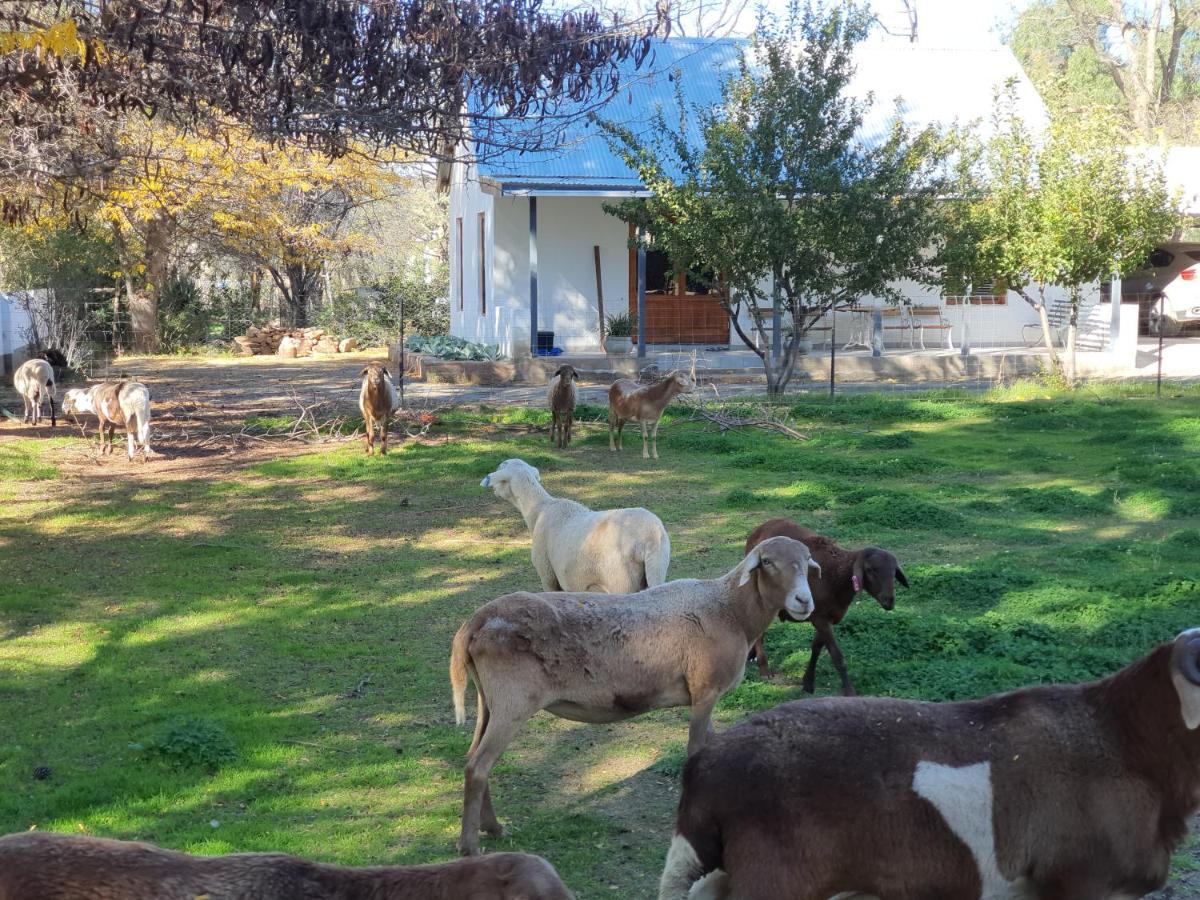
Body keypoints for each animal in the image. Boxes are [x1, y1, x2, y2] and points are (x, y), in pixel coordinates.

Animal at [451, 540, 825, 854]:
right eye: (768, 562)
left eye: (807, 561)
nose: (804, 601)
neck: (730, 611)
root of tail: (474, 623)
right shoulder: (705, 691)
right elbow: (695, 751)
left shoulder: (707, 694)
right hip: (513, 701)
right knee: (480, 766)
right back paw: (470, 847)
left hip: (489, 700)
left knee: (471, 758)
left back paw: (493, 828)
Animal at [744, 513, 902, 691]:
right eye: (870, 569)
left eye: (894, 571)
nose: (889, 600)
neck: (838, 576)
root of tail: (759, 528)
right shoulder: (820, 617)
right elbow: (837, 656)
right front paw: (849, 691)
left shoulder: (827, 616)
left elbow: (816, 648)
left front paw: (808, 682)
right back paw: (764, 669)